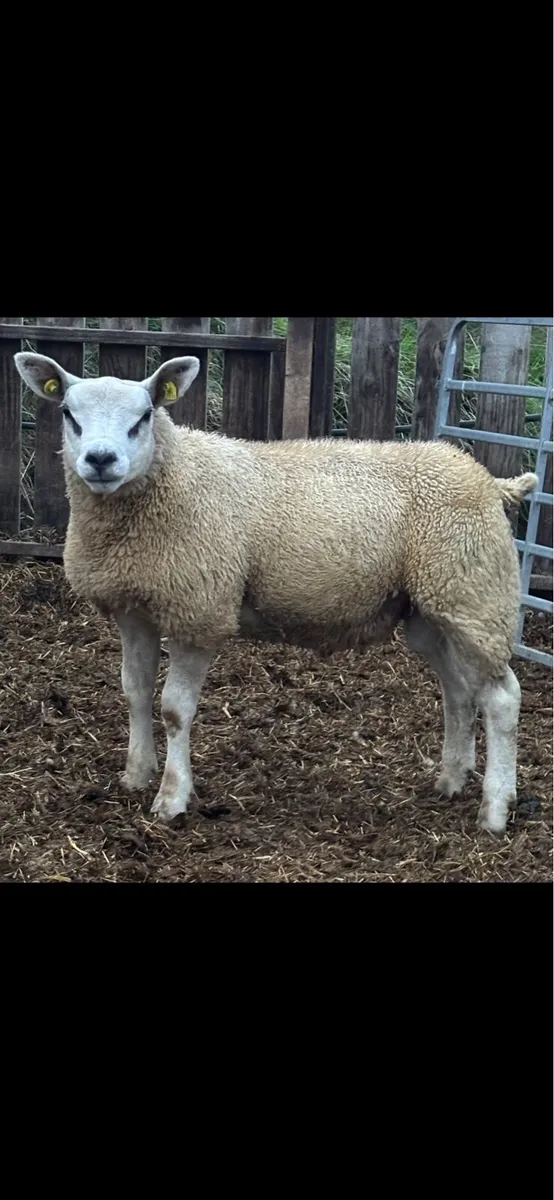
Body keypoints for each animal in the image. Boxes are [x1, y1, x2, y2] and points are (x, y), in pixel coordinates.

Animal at [14, 350, 538, 836]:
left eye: (143, 416)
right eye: (68, 413)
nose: (100, 460)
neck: (172, 477)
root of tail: (489, 479)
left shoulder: (199, 610)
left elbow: (175, 710)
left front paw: (172, 797)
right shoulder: (134, 607)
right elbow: (135, 691)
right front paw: (136, 773)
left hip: (473, 593)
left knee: (502, 698)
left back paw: (494, 810)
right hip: (432, 609)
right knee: (458, 689)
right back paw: (453, 779)